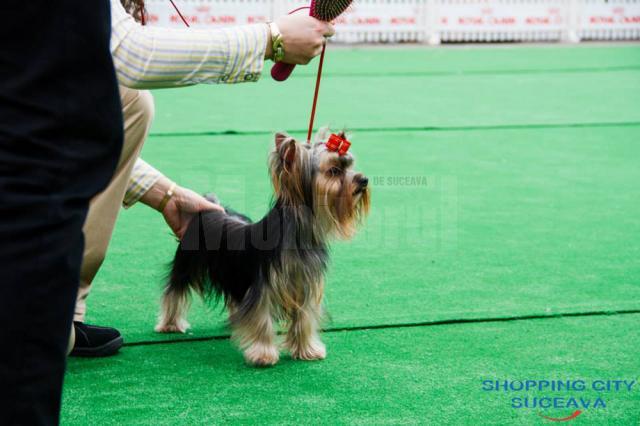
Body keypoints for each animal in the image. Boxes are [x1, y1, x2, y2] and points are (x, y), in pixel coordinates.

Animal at [154, 130, 370, 366]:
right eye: (334, 171)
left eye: (350, 166)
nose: (364, 180)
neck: (299, 233)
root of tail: (208, 209)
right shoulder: (263, 288)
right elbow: (261, 321)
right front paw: (263, 355)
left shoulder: (305, 287)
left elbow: (304, 320)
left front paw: (307, 350)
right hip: (186, 263)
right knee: (174, 291)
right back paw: (170, 324)